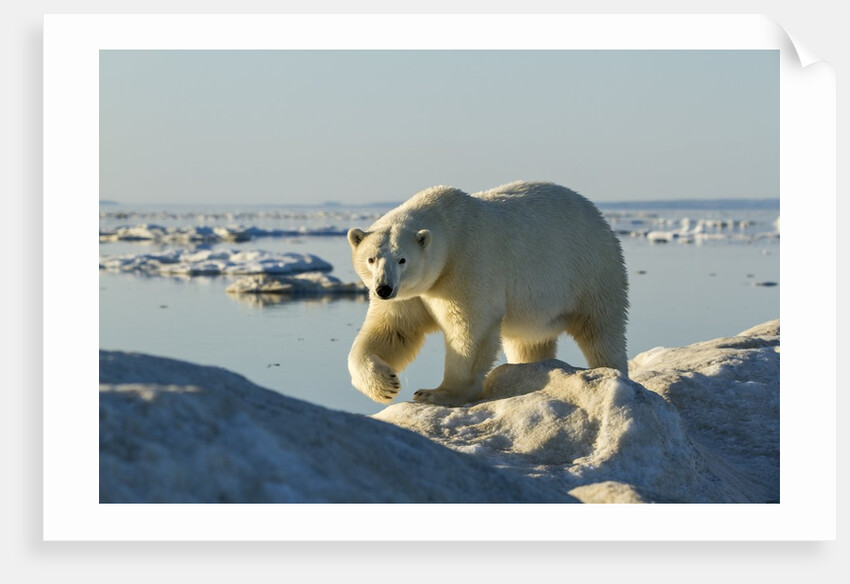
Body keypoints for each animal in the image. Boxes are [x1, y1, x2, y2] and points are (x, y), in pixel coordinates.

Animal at [346, 180, 628, 406]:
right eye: (371, 259)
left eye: (402, 259)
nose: (383, 289)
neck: (449, 227)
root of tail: (597, 214)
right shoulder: (414, 292)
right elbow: (394, 330)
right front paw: (386, 384)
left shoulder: (468, 263)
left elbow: (470, 329)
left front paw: (436, 393)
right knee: (528, 342)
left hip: (591, 270)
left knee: (601, 330)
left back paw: (612, 371)